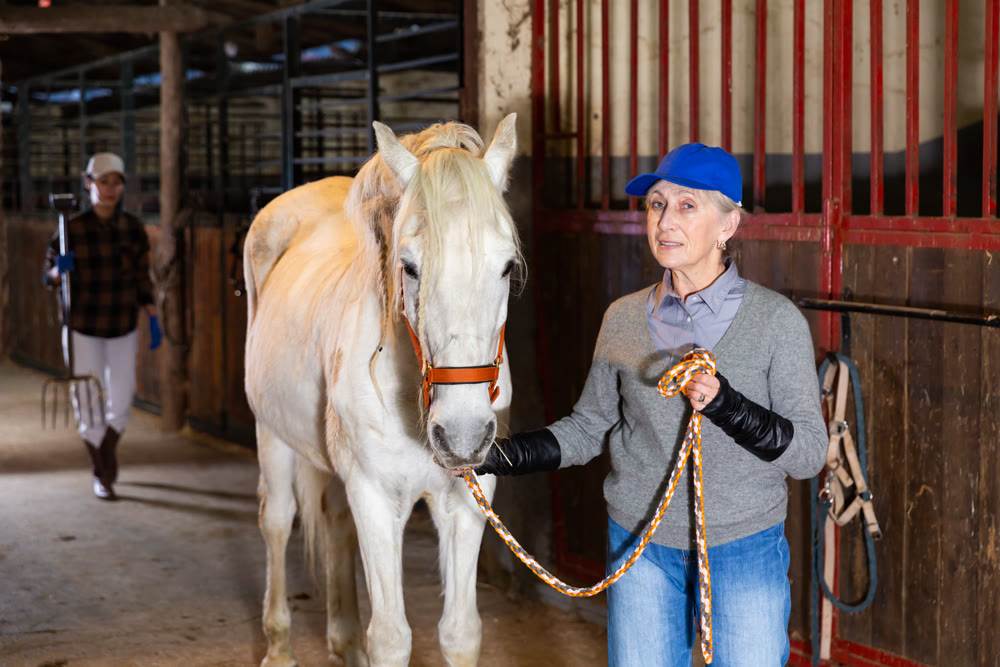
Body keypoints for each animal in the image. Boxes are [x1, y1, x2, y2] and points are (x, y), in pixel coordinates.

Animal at [243, 114, 519, 667]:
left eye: (505, 266)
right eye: (409, 266)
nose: (461, 435)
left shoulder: (467, 498)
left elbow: (460, 632)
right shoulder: (373, 494)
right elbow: (391, 637)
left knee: (333, 524)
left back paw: (342, 639)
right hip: (271, 434)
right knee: (278, 521)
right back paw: (279, 645)